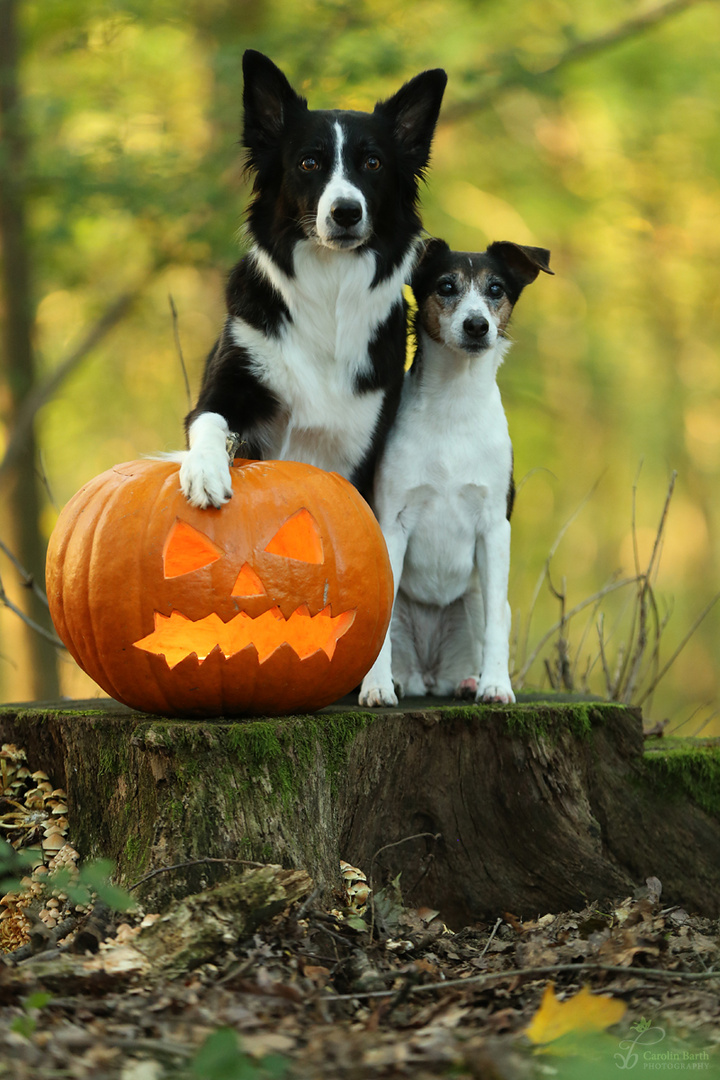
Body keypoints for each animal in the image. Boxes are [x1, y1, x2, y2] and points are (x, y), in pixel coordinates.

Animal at [177, 49, 444, 505]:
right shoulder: (232, 381)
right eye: (309, 162)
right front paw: (205, 471)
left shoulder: (360, 442)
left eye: (373, 162)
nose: (346, 212)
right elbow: (208, 420)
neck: (330, 285)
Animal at [358, 237, 552, 708]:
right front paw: (375, 687)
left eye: (496, 289)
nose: (477, 325)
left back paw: (469, 681)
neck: (454, 403)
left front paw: (496, 685)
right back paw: (394, 682)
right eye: (446, 286)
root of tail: (429, 676)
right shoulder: (392, 523)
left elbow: (497, 625)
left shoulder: (495, 528)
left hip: (476, 600)